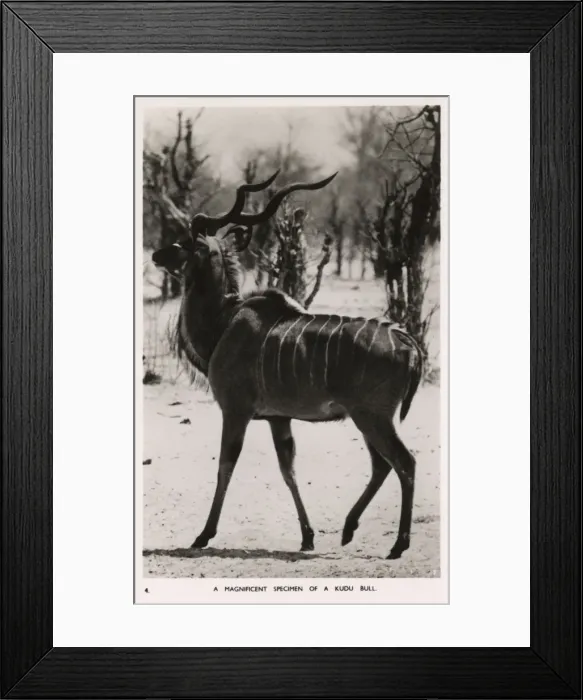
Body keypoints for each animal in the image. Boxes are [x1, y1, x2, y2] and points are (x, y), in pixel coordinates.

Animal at [151, 171, 423, 559]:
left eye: (187, 242)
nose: (157, 254)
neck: (223, 322)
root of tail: (406, 342)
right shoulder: (279, 418)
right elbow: (288, 469)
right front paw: (308, 537)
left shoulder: (235, 411)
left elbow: (225, 465)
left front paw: (203, 535)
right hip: (369, 418)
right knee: (381, 465)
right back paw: (348, 529)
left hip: (372, 416)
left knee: (404, 462)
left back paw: (398, 544)